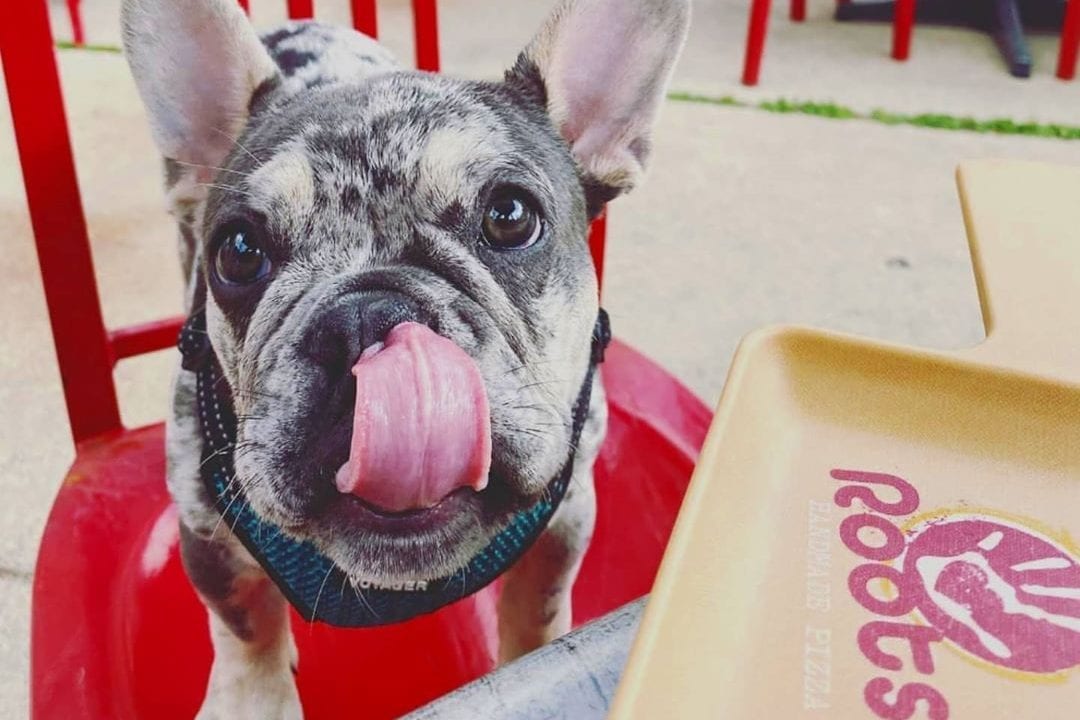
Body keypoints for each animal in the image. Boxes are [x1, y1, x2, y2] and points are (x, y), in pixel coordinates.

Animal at [120, 0, 691, 716]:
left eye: (510, 216)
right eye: (238, 252)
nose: (365, 315)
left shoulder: (566, 517)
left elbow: (538, 610)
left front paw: (531, 660)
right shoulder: (206, 538)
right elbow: (245, 629)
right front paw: (253, 698)